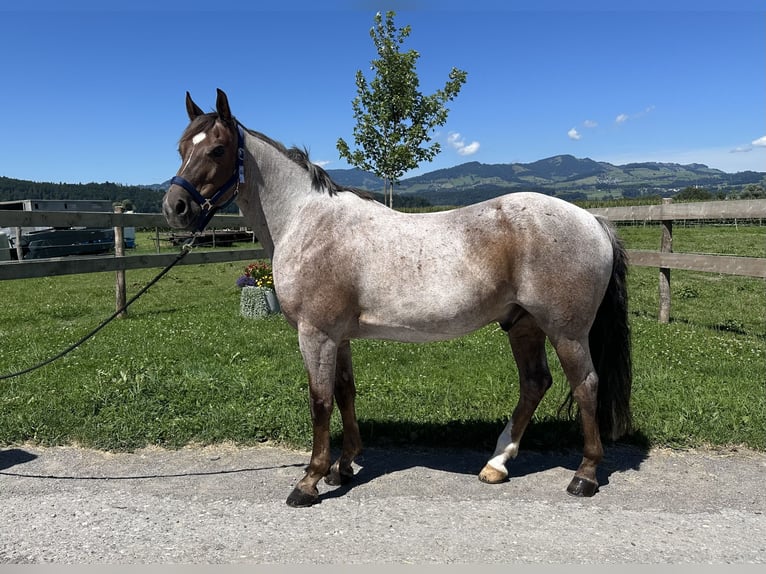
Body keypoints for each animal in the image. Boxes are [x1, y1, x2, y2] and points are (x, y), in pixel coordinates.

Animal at [162, 89, 632, 508]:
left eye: (218, 150)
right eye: (182, 147)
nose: (175, 207)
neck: (307, 221)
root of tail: (592, 219)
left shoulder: (316, 335)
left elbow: (320, 401)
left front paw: (310, 480)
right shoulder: (339, 337)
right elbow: (346, 392)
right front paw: (344, 467)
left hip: (566, 331)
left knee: (585, 385)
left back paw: (585, 475)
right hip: (523, 324)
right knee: (535, 383)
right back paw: (497, 463)